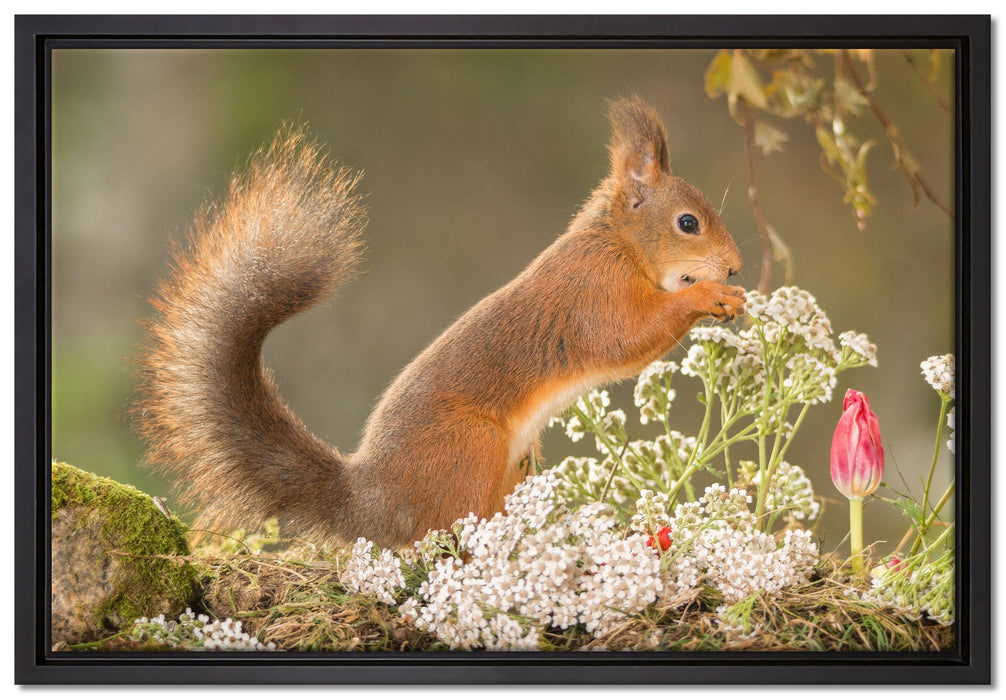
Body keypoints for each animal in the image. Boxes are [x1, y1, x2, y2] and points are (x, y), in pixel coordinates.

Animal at [134, 97, 745, 548]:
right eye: (688, 223)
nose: (736, 266)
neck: (618, 243)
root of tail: (368, 503)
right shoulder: (593, 293)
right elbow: (627, 338)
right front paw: (711, 295)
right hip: (469, 451)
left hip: (515, 463)